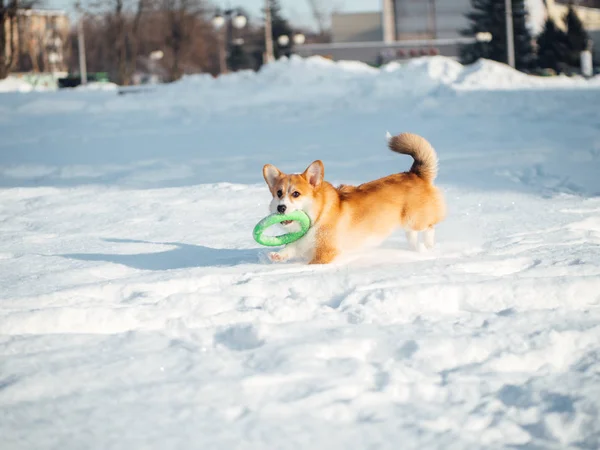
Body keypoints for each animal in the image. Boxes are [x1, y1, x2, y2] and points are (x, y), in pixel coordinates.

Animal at [262, 130, 446, 264]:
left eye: (296, 194)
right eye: (279, 193)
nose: (281, 207)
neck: (318, 216)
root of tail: (415, 173)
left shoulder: (326, 252)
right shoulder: (301, 245)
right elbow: (290, 248)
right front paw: (276, 256)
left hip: (414, 219)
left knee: (429, 227)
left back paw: (428, 246)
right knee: (412, 235)